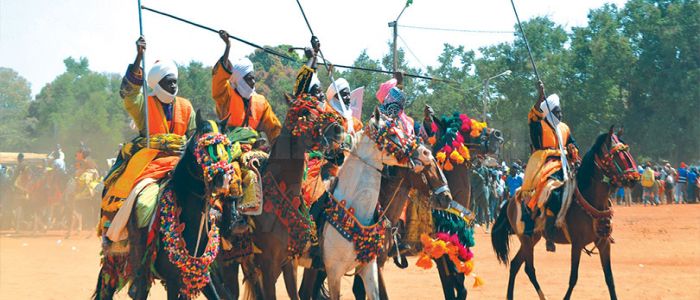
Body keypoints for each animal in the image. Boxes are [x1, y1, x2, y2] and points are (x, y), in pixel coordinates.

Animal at [93, 113, 237, 298]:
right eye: (204, 147)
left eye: (227, 146)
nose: (223, 179)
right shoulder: (172, 279)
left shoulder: (201, 275)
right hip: (117, 261)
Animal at [492, 128, 640, 300]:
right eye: (617, 155)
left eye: (627, 151)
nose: (634, 178)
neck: (590, 201)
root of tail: (510, 200)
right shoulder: (577, 244)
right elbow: (573, 278)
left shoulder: (604, 243)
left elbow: (610, 279)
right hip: (526, 238)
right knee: (529, 269)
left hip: (533, 238)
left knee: (515, 264)